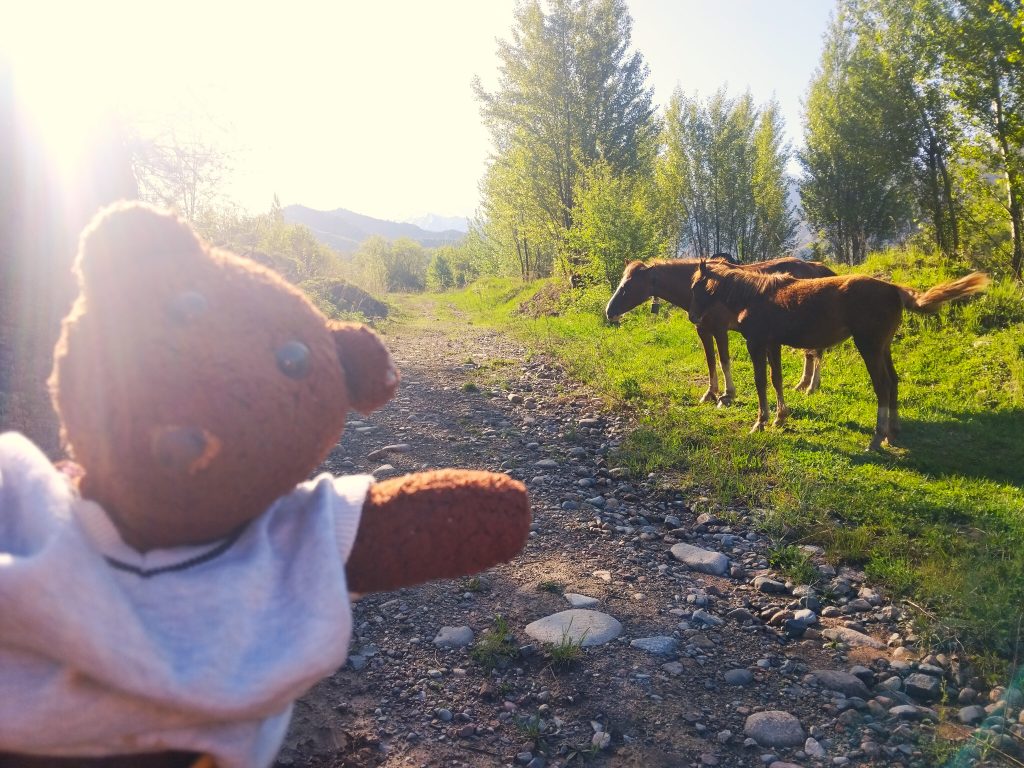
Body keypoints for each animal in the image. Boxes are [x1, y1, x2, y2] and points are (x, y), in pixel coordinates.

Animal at [605, 256, 836, 405]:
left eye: (628, 286)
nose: (609, 312)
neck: (706, 288)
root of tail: (813, 267)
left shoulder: (720, 330)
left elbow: (724, 360)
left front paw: (728, 394)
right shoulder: (703, 330)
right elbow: (710, 361)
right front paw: (710, 393)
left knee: (817, 352)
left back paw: (811, 386)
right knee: (809, 353)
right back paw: (802, 384)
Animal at [688, 260, 990, 450]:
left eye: (697, 287)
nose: (693, 317)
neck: (755, 295)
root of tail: (894, 290)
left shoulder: (757, 343)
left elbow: (761, 382)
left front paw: (760, 423)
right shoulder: (773, 344)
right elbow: (776, 380)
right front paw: (780, 418)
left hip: (869, 346)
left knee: (882, 385)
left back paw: (877, 438)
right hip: (883, 347)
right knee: (893, 382)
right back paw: (893, 433)